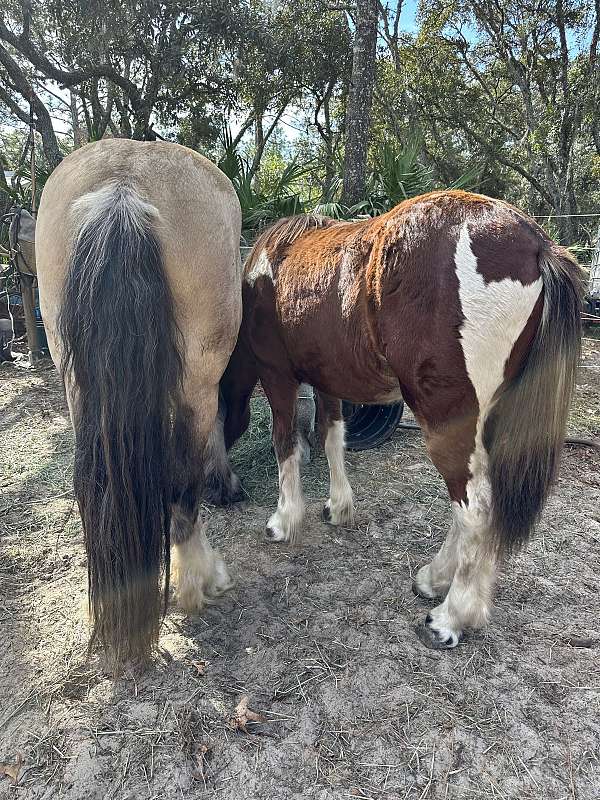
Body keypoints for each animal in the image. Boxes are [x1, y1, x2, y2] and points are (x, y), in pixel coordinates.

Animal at [220, 192, 580, 648]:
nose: (220, 492)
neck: (264, 275)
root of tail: (535, 243)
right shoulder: (327, 380)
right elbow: (331, 436)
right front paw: (338, 507)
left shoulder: (278, 377)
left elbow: (285, 444)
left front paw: (284, 520)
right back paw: (438, 581)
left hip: (447, 420)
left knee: (475, 507)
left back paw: (450, 617)